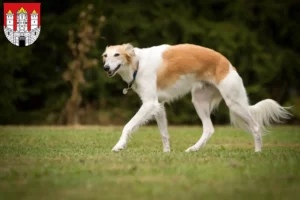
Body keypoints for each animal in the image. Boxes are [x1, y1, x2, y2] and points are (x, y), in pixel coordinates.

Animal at [101, 43, 290, 152]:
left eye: (117, 55)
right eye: (105, 56)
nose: (105, 68)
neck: (137, 64)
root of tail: (229, 64)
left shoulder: (149, 104)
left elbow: (128, 125)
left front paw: (119, 146)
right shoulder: (158, 105)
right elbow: (164, 134)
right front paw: (166, 154)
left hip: (234, 103)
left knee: (256, 127)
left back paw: (258, 152)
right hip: (199, 101)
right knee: (209, 129)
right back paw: (194, 149)